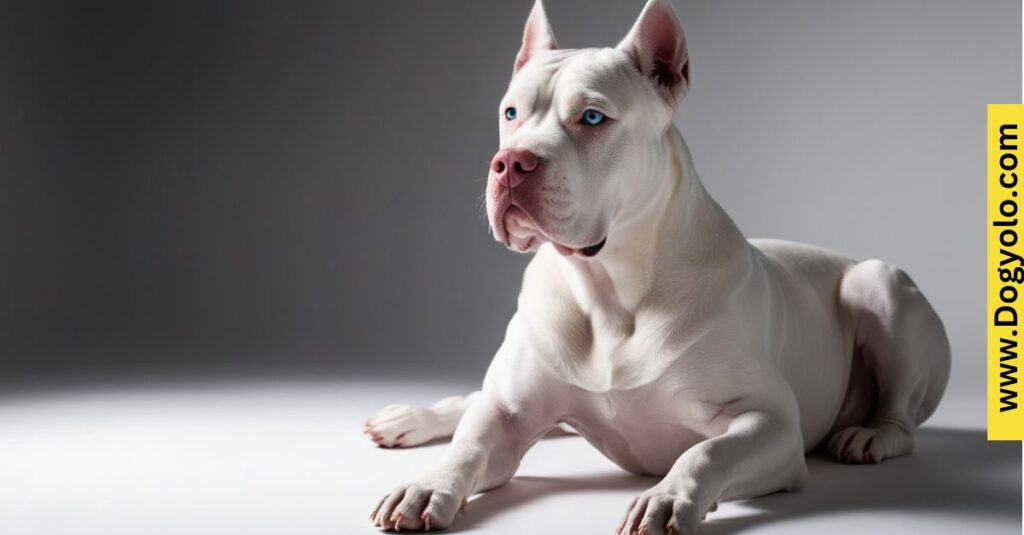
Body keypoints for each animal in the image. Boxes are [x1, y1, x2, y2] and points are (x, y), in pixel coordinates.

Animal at [366, 2, 950, 528]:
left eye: (593, 117)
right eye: (511, 114)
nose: (511, 163)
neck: (608, 293)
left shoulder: (771, 422)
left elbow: (705, 452)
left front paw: (668, 497)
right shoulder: (508, 417)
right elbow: (470, 444)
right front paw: (427, 485)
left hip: (880, 284)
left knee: (900, 416)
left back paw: (870, 434)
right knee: (474, 399)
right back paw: (410, 418)